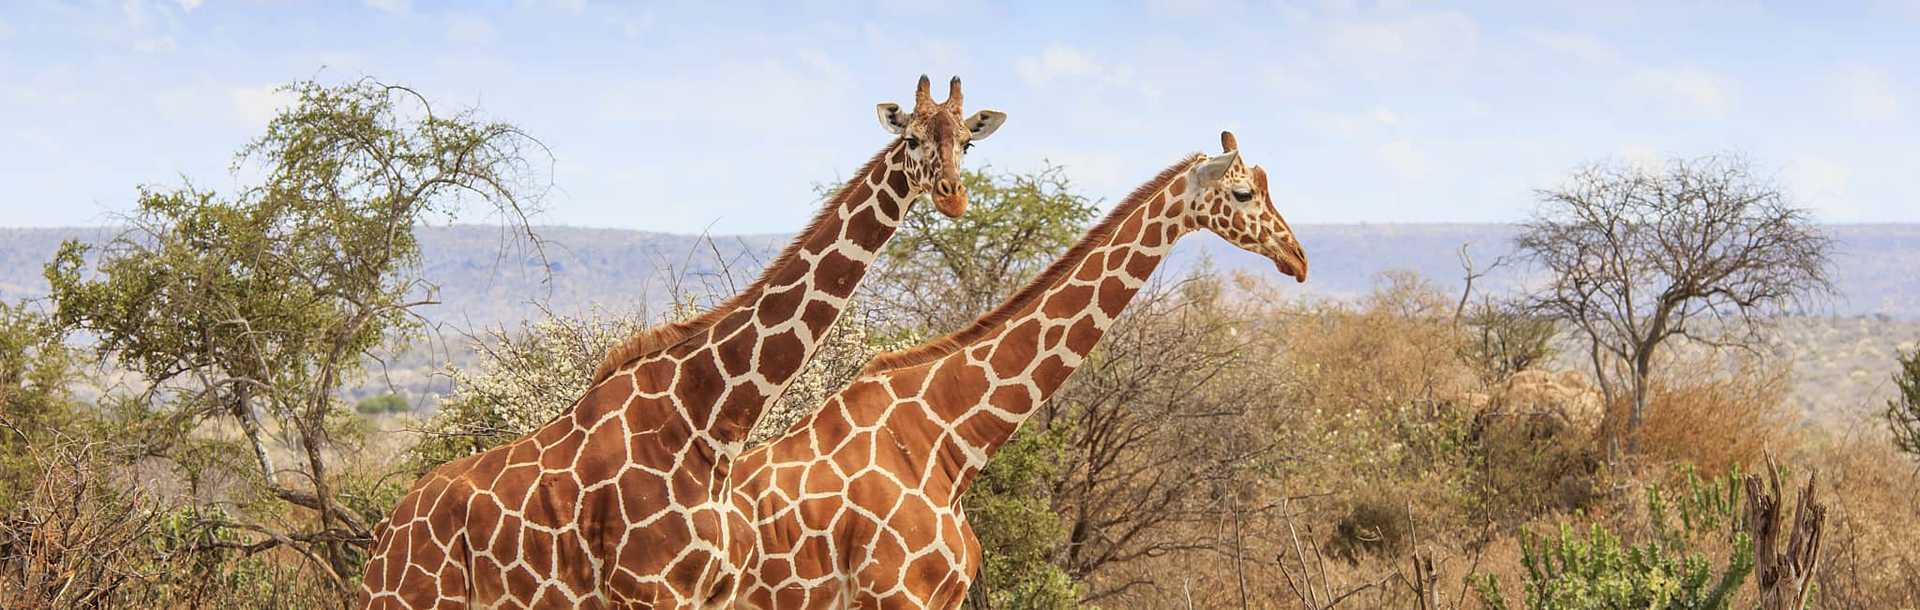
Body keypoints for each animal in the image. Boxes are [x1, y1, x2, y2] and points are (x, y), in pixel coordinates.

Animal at [355, 76, 1013, 610]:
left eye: (967, 143)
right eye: (912, 140)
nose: (953, 195)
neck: (712, 422)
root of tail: (383, 536)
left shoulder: (708, 591)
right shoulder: (650, 588)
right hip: (410, 599)